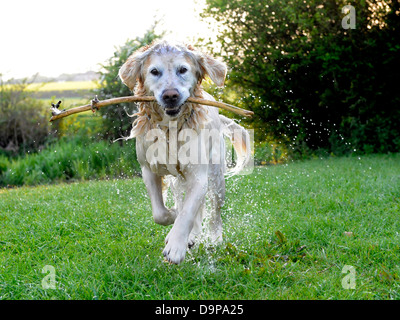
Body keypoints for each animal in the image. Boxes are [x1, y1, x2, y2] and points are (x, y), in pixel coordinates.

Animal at [117, 40, 252, 264]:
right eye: (154, 71)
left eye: (183, 70)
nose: (170, 96)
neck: (170, 128)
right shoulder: (148, 169)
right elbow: (161, 213)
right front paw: (173, 217)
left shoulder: (198, 177)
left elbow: (188, 212)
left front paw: (176, 245)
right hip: (178, 182)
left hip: (216, 178)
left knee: (214, 212)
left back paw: (214, 238)